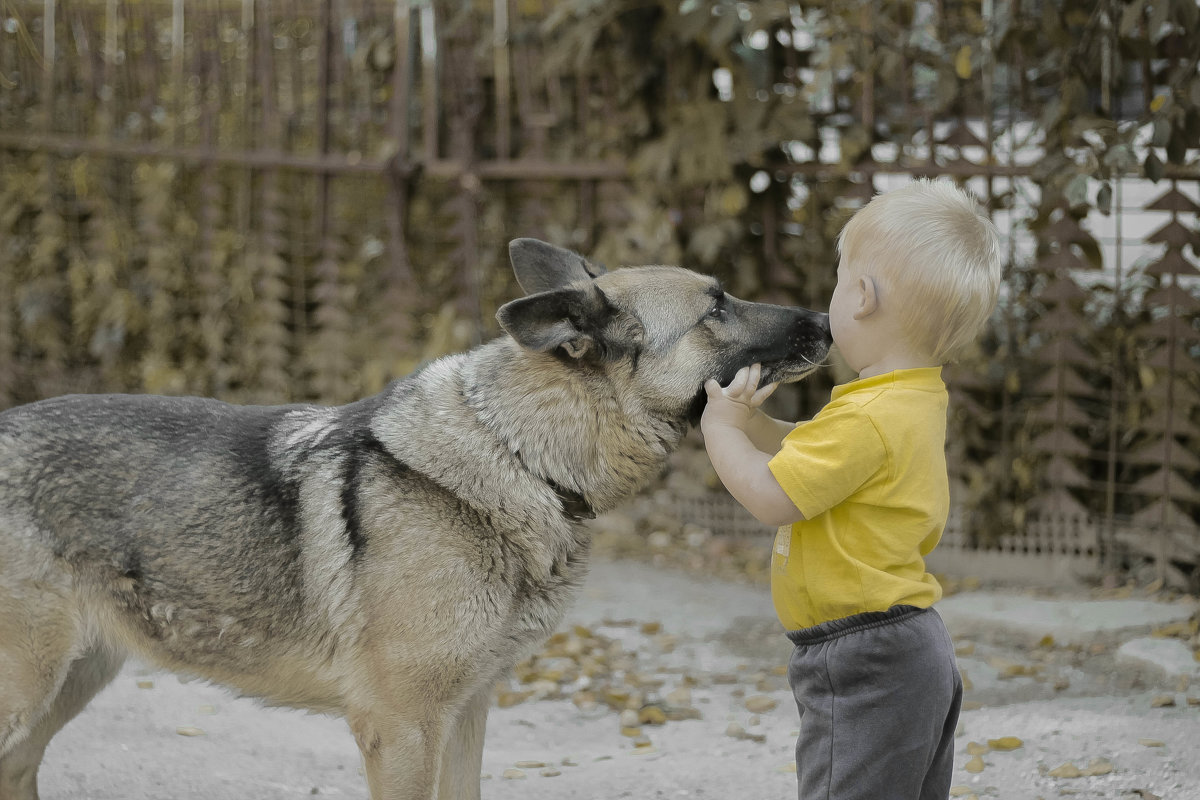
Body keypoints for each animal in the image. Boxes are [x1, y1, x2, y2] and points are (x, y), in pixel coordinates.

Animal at [0, 239, 830, 800]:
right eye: (715, 307)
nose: (826, 320)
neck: (516, 453)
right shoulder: (399, 728)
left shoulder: (463, 716)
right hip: (30, 689)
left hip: (72, 682)